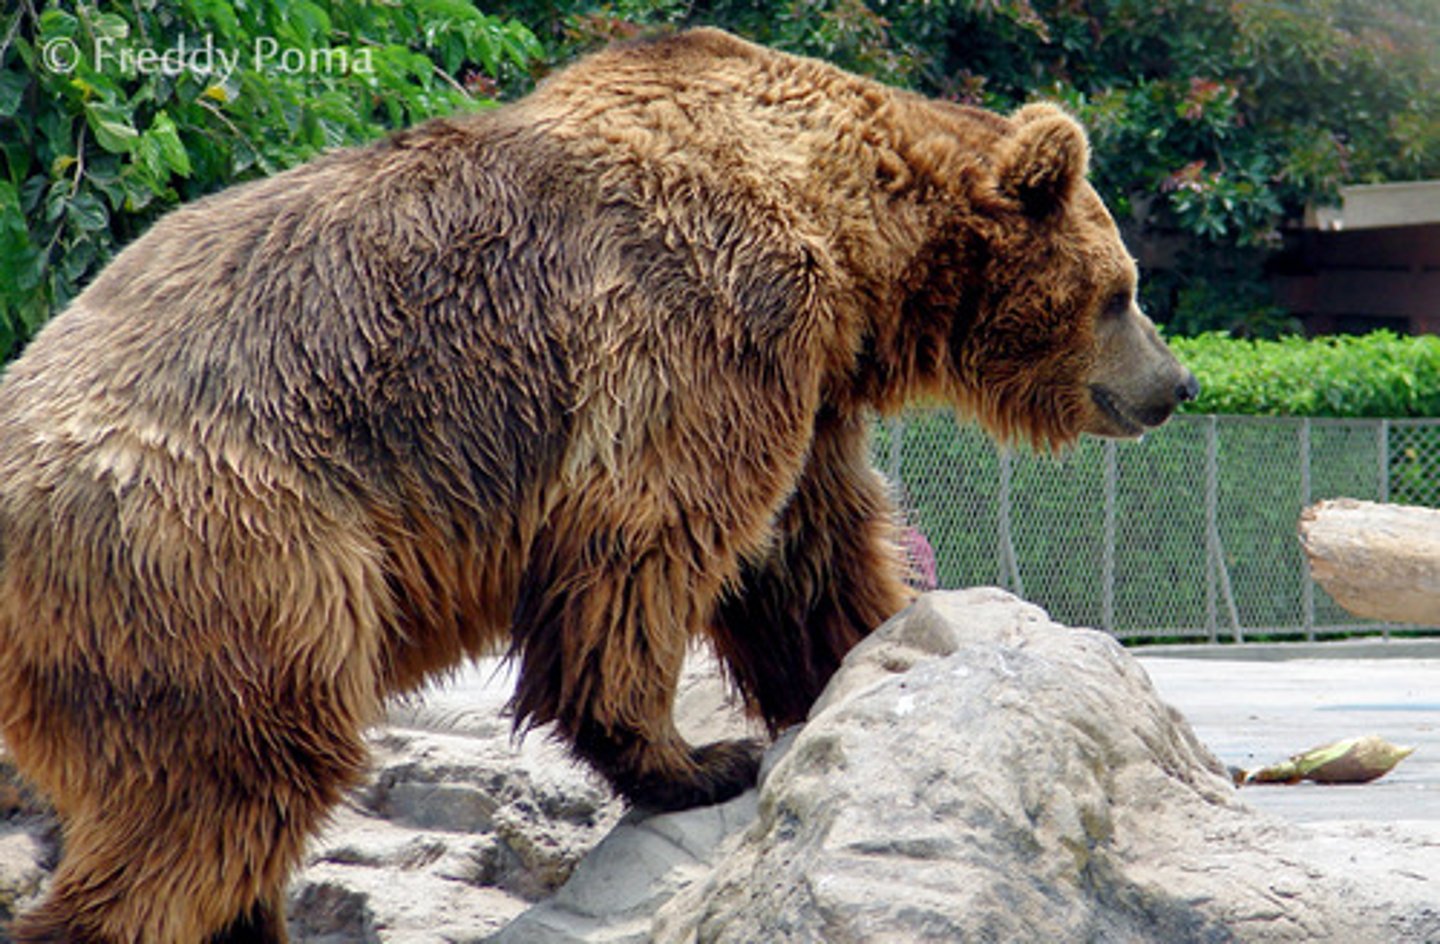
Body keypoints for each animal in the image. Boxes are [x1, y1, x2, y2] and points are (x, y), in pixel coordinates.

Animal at [0, 26, 1196, 943]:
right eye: (1124, 288)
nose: (1175, 383)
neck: (847, 241)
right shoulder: (708, 320)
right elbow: (650, 538)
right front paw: (700, 756)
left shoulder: (805, 382)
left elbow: (805, 552)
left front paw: (867, 647)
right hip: (225, 548)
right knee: (229, 781)